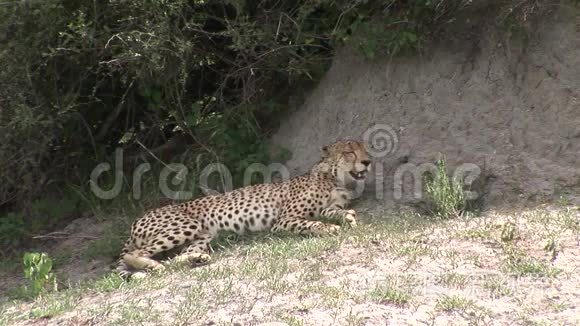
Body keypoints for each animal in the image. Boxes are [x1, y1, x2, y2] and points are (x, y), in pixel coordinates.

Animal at [116, 139, 372, 276]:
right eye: (349, 151)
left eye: (365, 149)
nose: (368, 161)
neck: (335, 177)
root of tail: (137, 220)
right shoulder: (284, 220)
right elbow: (312, 223)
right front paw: (329, 228)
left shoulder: (329, 207)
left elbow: (338, 211)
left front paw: (348, 217)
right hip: (186, 226)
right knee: (134, 253)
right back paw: (153, 264)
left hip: (203, 235)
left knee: (177, 256)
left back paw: (196, 259)